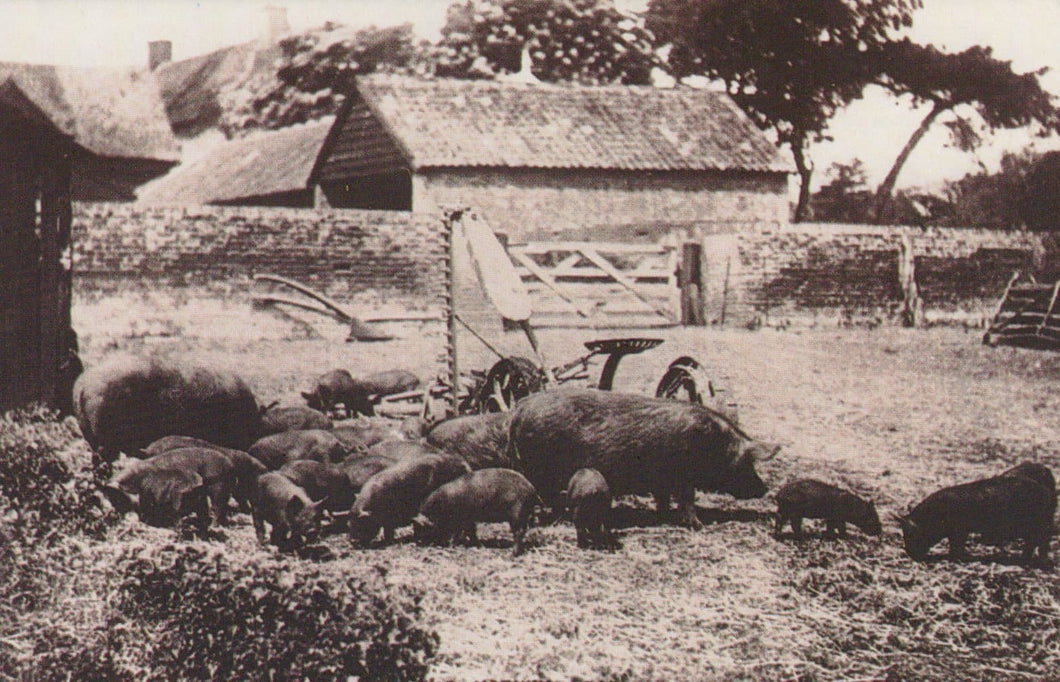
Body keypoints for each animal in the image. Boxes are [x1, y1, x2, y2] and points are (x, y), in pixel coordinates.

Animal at [413, 473, 542, 555]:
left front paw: (451, 545)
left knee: (519, 532)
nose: (417, 542)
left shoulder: (460, 518)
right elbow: (471, 532)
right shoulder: (469, 520)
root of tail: (532, 490)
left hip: (516, 514)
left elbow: (459, 532)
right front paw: (479, 545)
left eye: (423, 527)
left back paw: (511, 554)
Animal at [508, 390, 775, 528]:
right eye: (747, 462)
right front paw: (697, 525)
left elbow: (663, 499)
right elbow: (687, 499)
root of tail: (519, 408)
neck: (711, 442)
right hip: (539, 467)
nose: (764, 489)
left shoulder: (662, 480)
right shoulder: (682, 476)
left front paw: (664, 517)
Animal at [898, 473, 1055, 564]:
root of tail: (1047, 493)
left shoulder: (959, 530)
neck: (937, 514)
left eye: (912, 534)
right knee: (1033, 543)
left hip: (1039, 525)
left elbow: (957, 544)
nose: (910, 554)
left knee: (1040, 543)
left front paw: (957, 557)